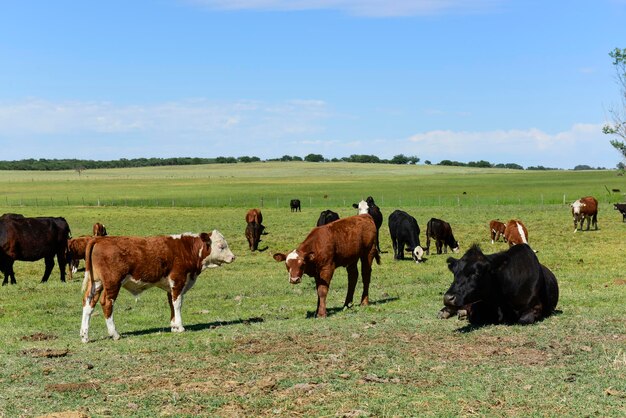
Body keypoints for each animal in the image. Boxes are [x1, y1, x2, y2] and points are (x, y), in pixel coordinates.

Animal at [78, 230, 234, 342]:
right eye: (221, 246)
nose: (233, 257)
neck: (187, 249)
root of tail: (99, 239)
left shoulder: (171, 286)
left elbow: (171, 303)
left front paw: (174, 326)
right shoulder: (178, 280)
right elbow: (177, 304)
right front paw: (180, 326)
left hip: (96, 283)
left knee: (88, 304)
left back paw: (85, 336)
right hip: (112, 283)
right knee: (107, 303)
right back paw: (114, 334)